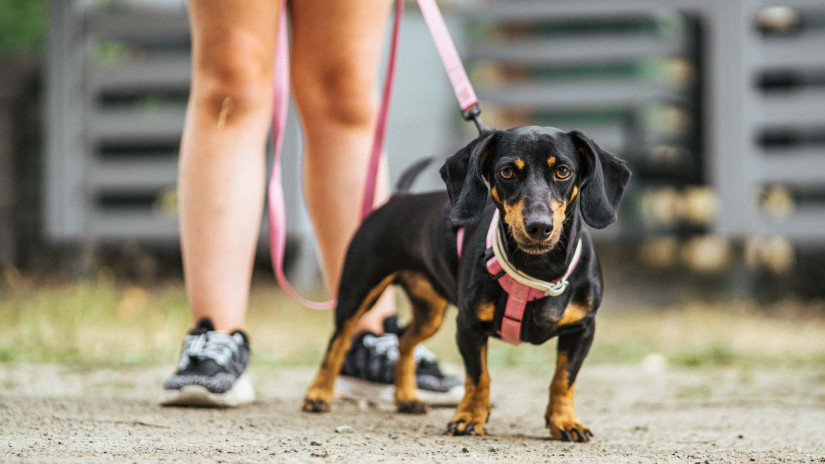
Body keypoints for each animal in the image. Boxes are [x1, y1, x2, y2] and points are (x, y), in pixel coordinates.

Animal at [302, 125, 632, 440]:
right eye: (507, 171)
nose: (539, 227)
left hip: (430, 314)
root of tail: (398, 198)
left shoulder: (582, 330)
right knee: (339, 342)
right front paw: (470, 417)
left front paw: (564, 422)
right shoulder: (468, 326)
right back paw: (318, 394)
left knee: (405, 340)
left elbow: (563, 380)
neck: (538, 270)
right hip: (358, 292)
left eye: (563, 171)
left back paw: (406, 397)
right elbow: (479, 376)